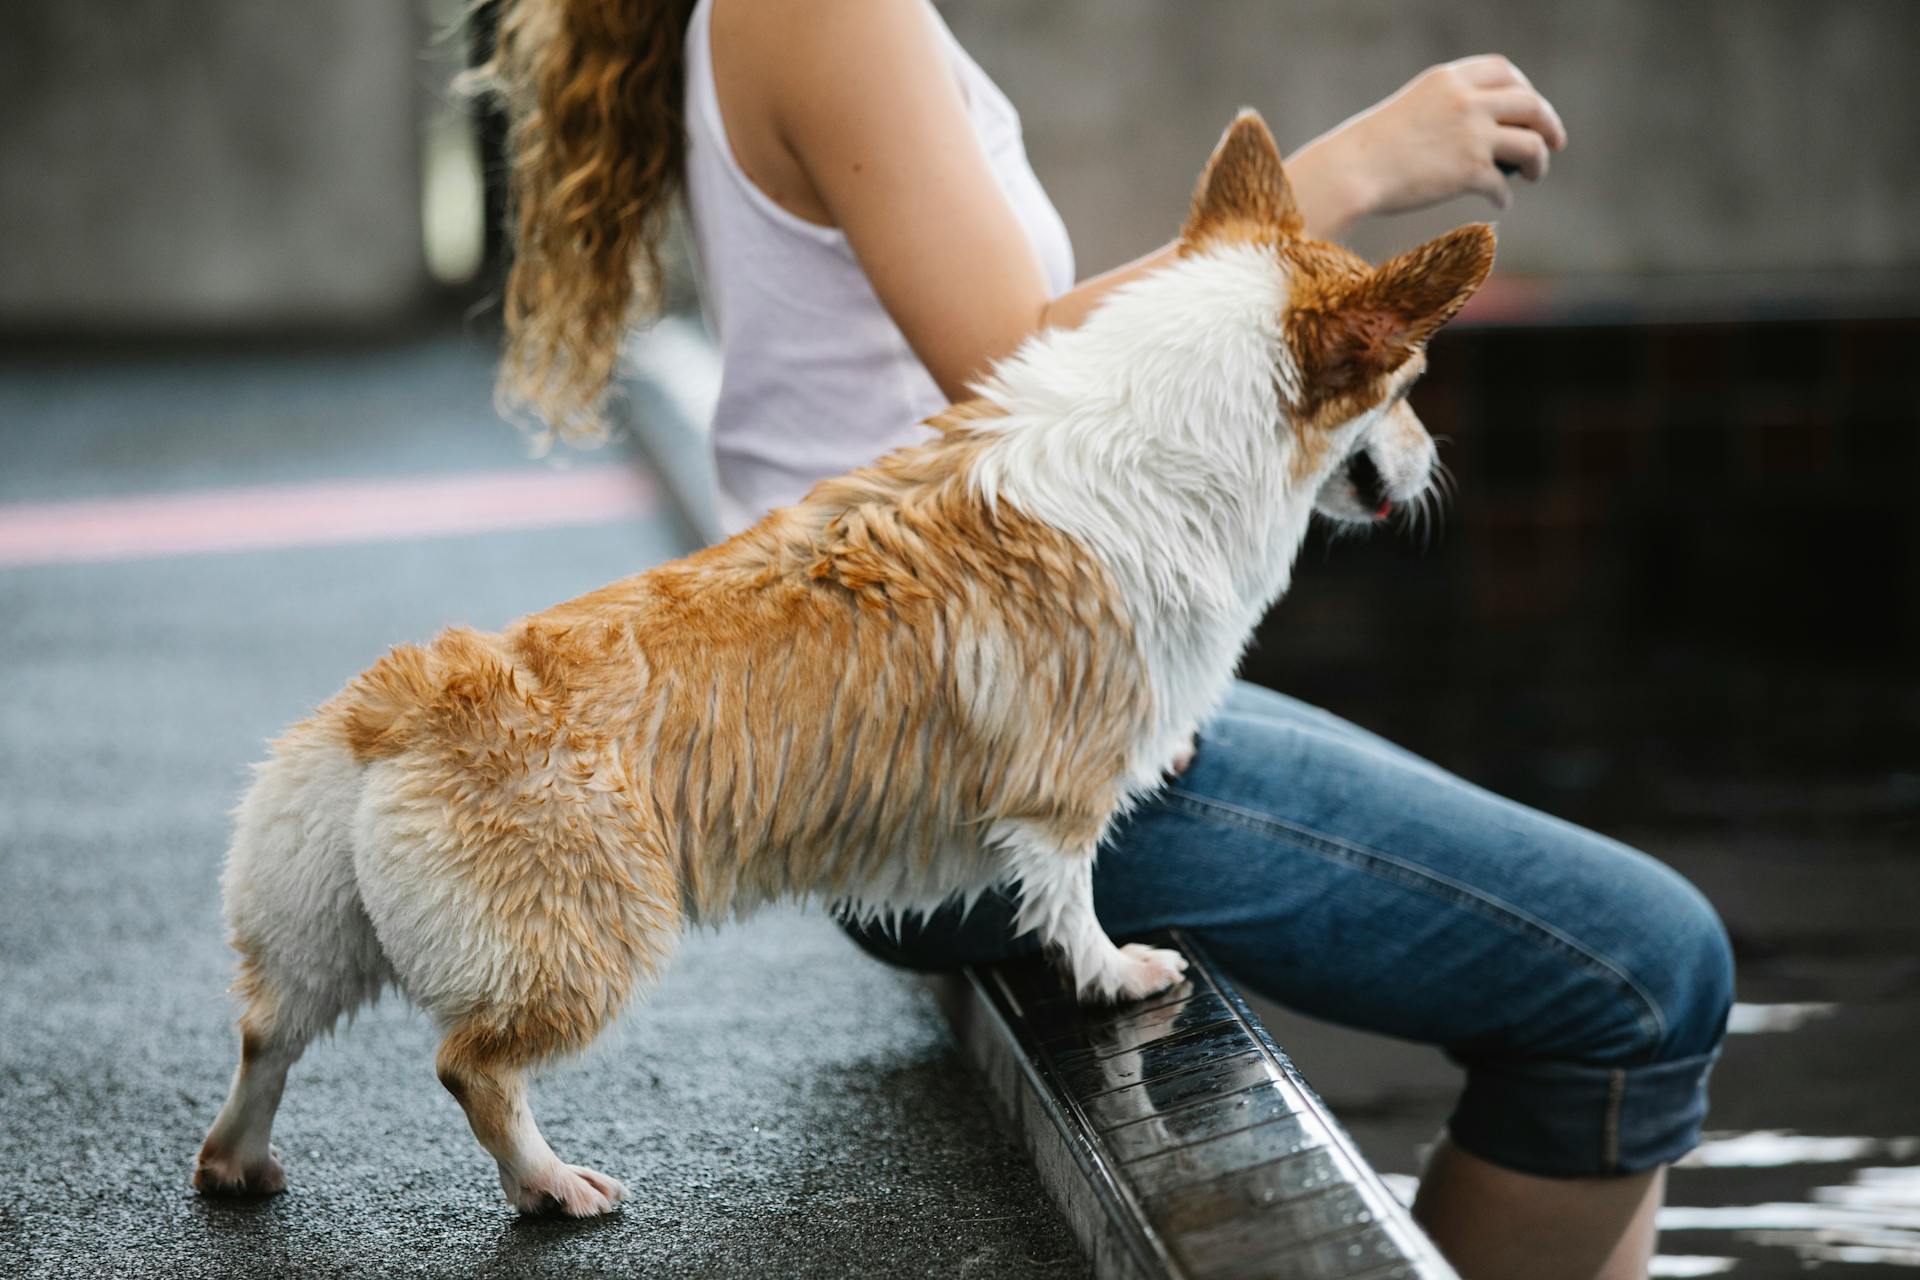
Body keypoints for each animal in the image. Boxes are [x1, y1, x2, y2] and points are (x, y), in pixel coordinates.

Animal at [191, 112, 1482, 1220]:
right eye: (1411, 389)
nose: (1432, 470)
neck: (1172, 438)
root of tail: (392, 709)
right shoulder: (1061, 791)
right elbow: (1071, 897)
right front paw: (1120, 974)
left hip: (315, 928)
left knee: (266, 1031)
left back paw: (239, 1162)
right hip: (588, 940)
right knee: (471, 1063)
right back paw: (551, 1184)